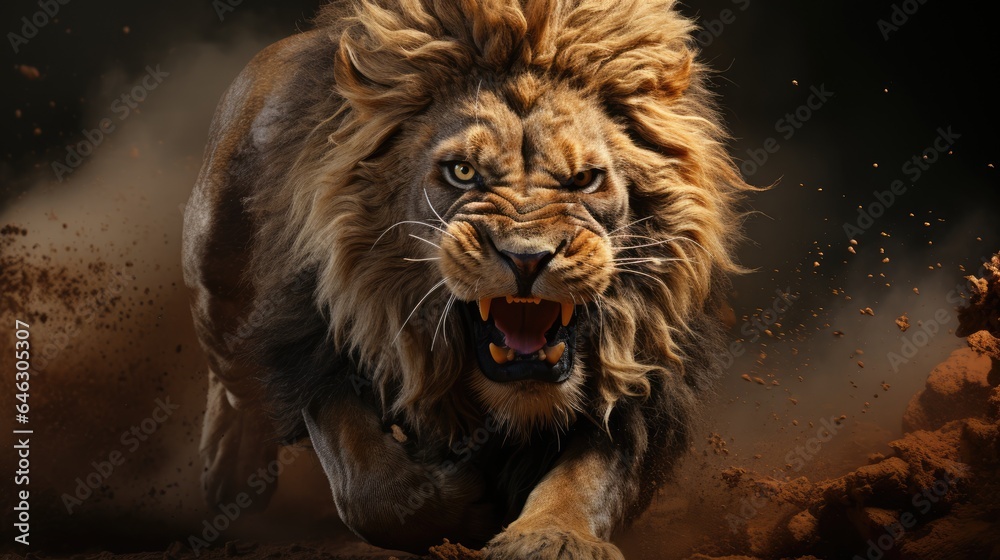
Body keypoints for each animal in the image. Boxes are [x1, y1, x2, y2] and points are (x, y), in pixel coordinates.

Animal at [181, 0, 751, 557]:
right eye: (462, 173)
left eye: (584, 180)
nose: (527, 258)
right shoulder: (318, 341)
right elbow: (368, 488)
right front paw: (468, 508)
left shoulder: (644, 378)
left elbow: (589, 478)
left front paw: (551, 538)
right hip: (217, 286)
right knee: (236, 381)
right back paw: (228, 475)